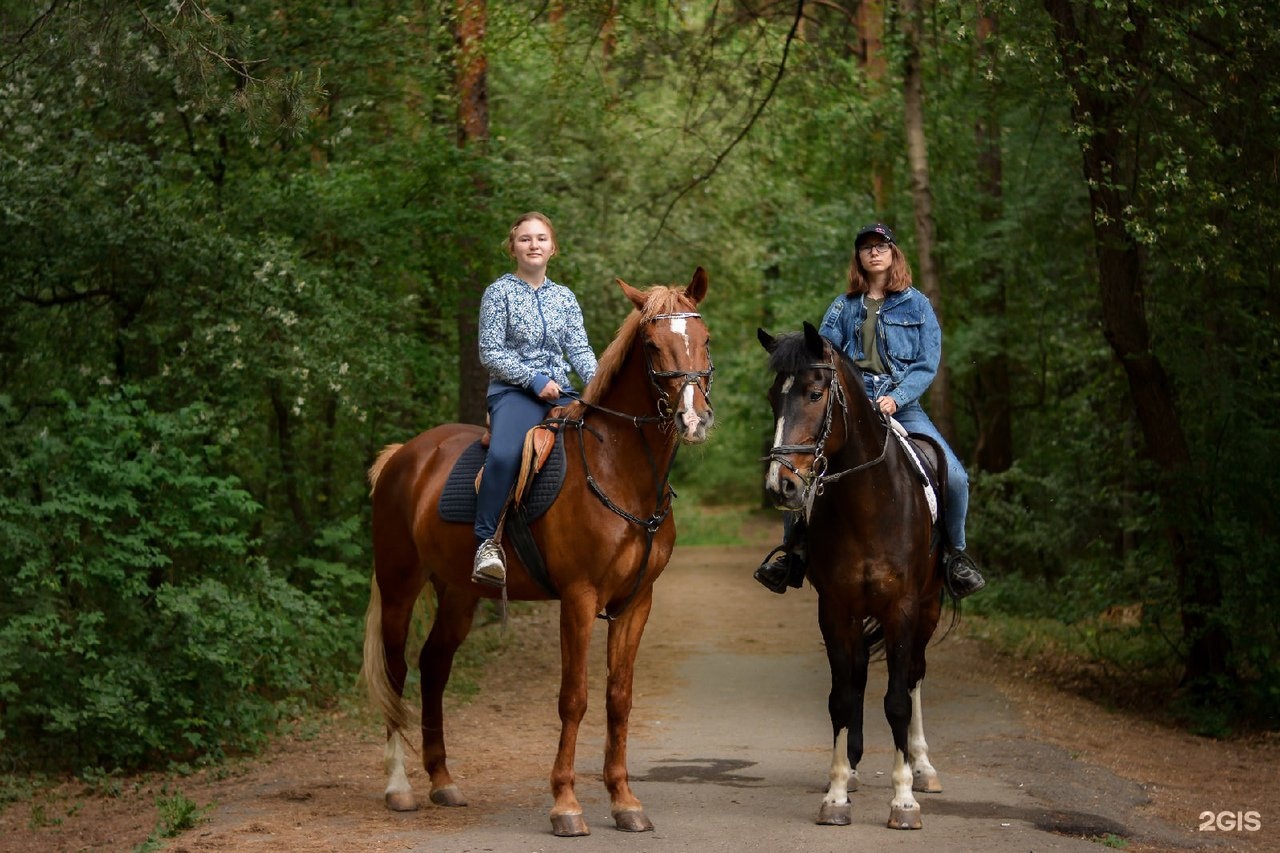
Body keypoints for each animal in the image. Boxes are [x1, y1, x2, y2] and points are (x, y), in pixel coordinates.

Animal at [366, 268, 716, 835]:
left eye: (704, 339)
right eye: (651, 345)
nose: (693, 418)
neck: (621, 471)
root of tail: (404, 456)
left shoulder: (636, 603)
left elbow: (619, 699)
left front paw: (624, 801)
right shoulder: (578, 598)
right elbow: (574, 699)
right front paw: (566, 805)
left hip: (458, 594)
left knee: (434, 666)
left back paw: (443, 781)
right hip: (399, 587)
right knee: (397, 672)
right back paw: (399, 787)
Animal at [752, 322, 947, 824]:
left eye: (815, 393)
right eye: (773, 397)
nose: (781, 486)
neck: (870, 502)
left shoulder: (903, 608)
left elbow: (897, 700)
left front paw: (904, 800)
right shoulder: (836, 607)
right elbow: (841, 695)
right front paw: (837, 793)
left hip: (930, 607)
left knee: (915, 675)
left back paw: (923, 767)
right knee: (857, 674)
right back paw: (855, 767)